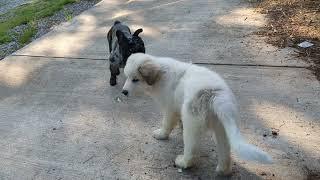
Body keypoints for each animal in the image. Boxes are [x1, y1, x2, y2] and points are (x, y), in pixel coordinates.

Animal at [122, 52, 272, 175]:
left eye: (135, 79)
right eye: (127, 77)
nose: (123, 92)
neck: (160, 73)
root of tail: (214, 94)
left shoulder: (170, 108)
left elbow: (167, 123)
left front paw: (161, 134)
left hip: (192, 124)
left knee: (192, 151)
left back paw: (183, 162)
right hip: (221, 126)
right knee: (225, 150)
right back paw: (223, 170)